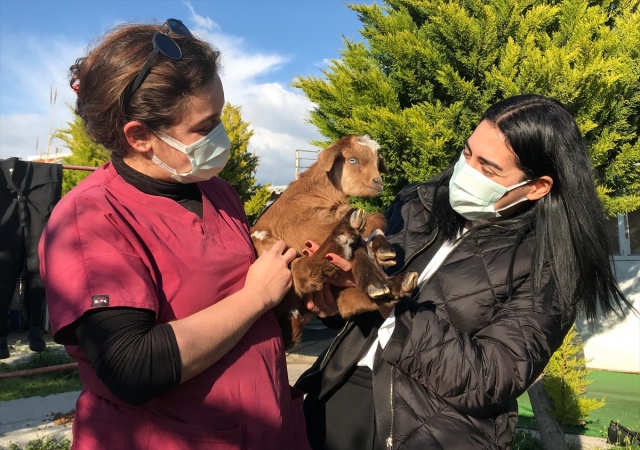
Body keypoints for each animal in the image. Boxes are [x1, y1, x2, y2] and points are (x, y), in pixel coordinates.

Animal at [250, 134, 420, 348]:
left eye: (377, 162)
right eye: (352, 160)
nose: (378, 182)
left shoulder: (347, 213)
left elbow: (375, 218)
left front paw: (382, 250)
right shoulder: (304, 226)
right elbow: (358, 242)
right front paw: (373, 279)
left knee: (346, 302)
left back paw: (399, 284)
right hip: (270, 249)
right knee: (300, 273)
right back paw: (343, 239)